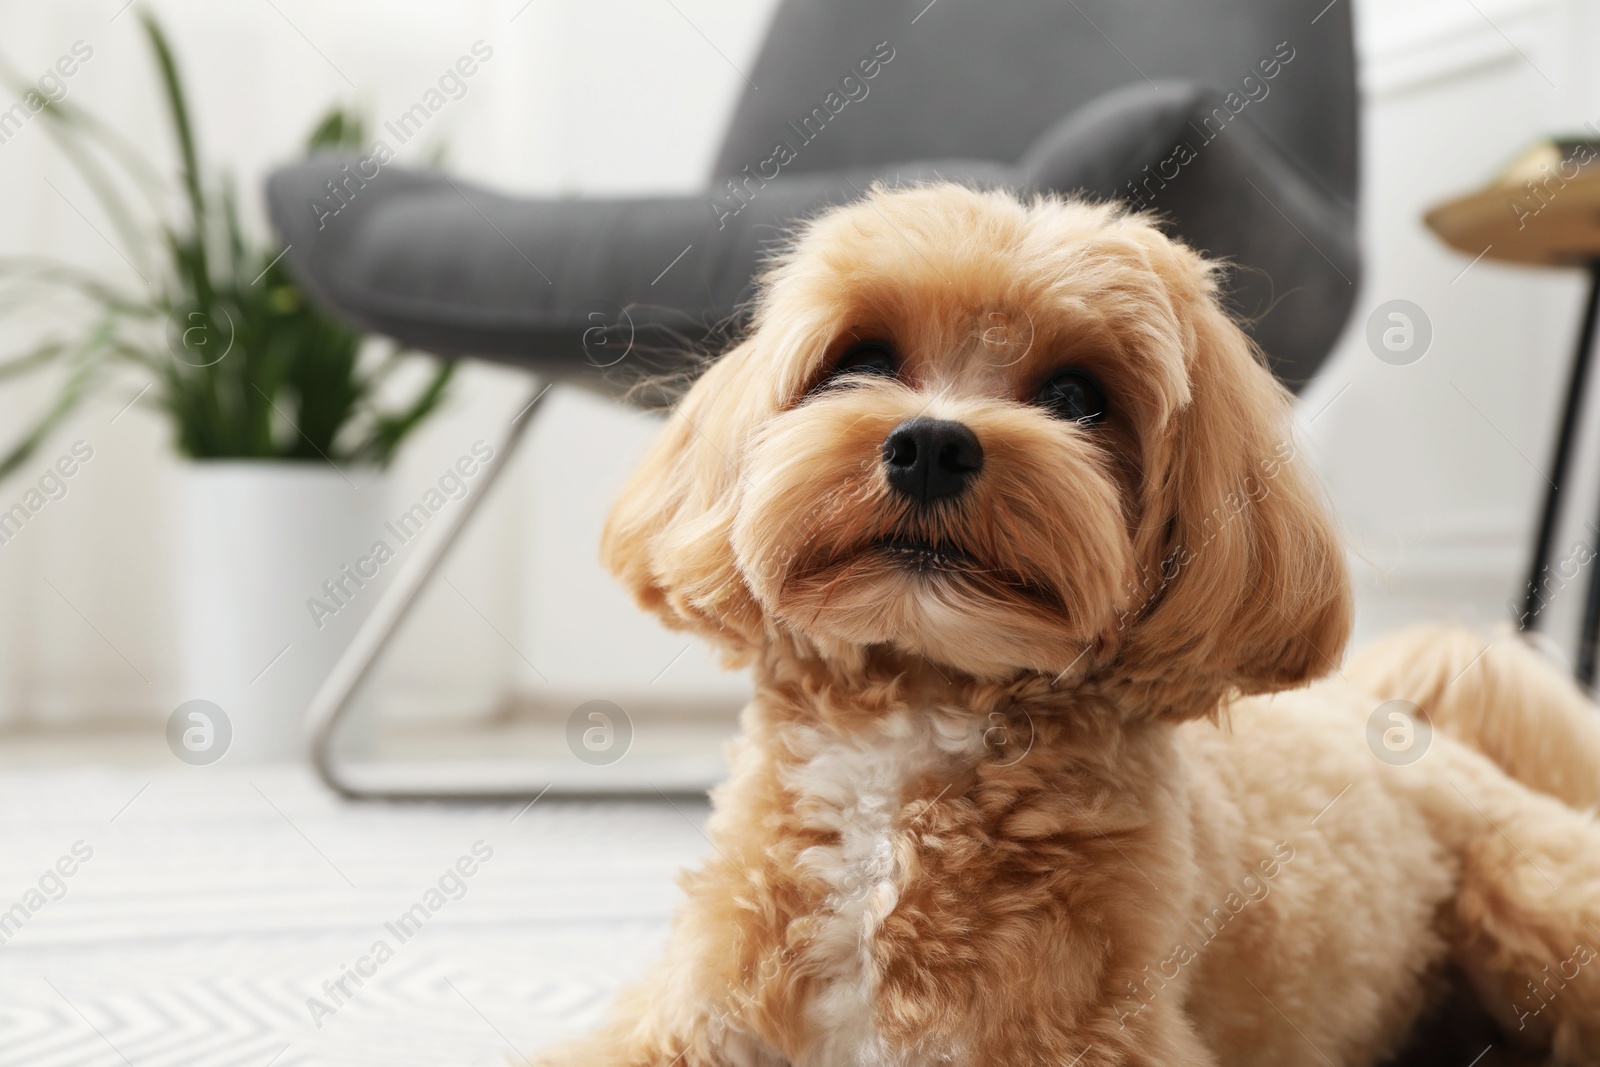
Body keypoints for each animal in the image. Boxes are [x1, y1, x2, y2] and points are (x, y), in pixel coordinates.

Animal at [547, 185, 1600, 1067]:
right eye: (863, 360)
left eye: (1076, 397)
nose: (931, 443)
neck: (917, 723)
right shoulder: (690, 1015)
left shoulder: (1090, 1037)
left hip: (1534, 899)